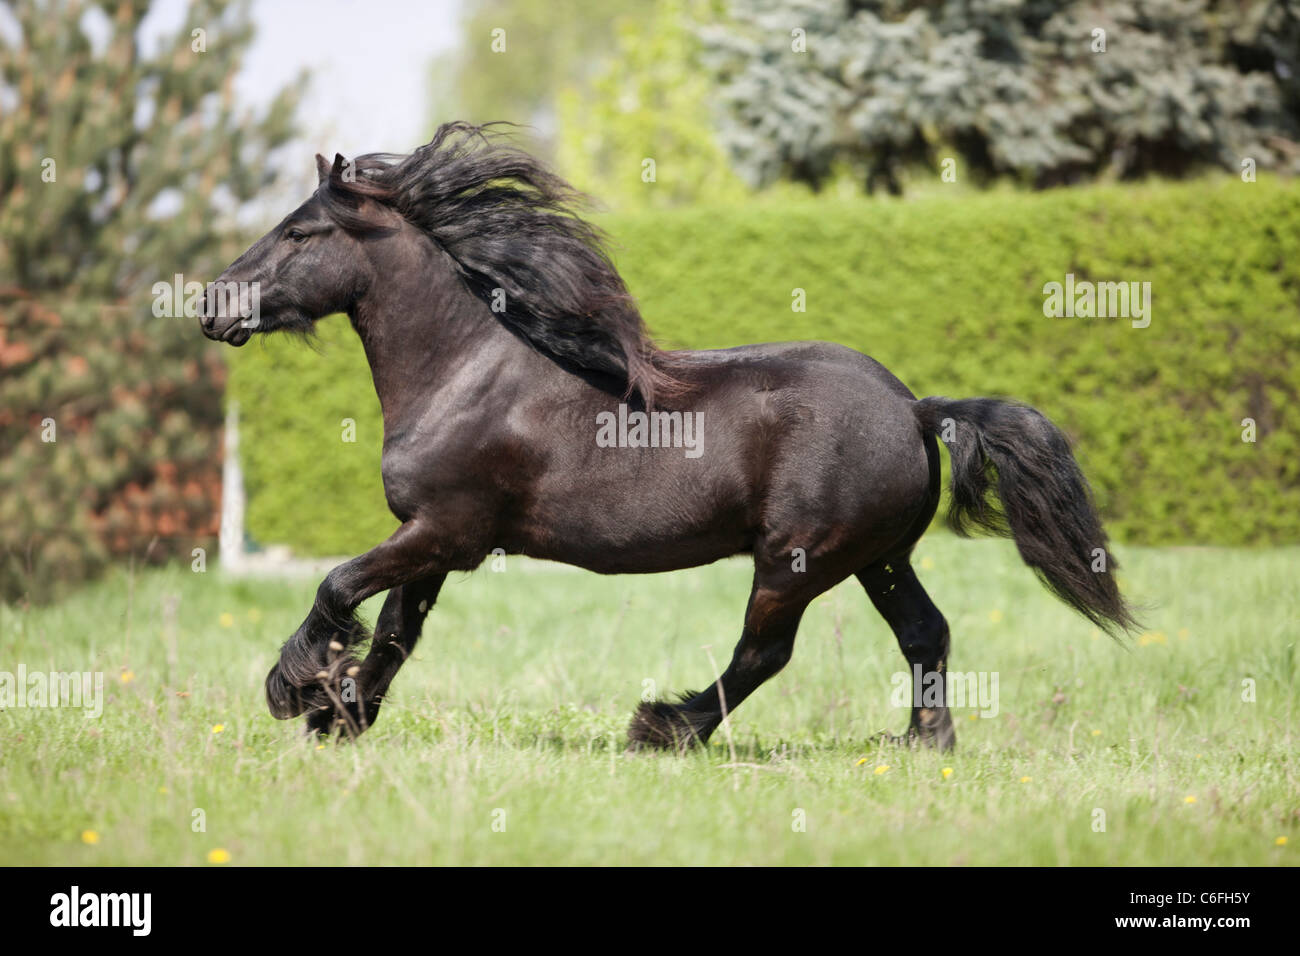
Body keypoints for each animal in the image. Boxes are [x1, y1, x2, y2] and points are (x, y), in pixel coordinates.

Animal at [200, 122, 1135, 750]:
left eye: (300, 231)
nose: (210, 303)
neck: (463, 375)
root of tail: (914, 409)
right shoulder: (434, 542)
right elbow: (393, 632)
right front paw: (340, 715)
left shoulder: (444, 532)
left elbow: (337, 586)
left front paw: (297, 692)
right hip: (879, 557)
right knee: (924, 633)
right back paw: (922, 742)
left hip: (795, 563)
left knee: (765, 652)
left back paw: (662, 727)